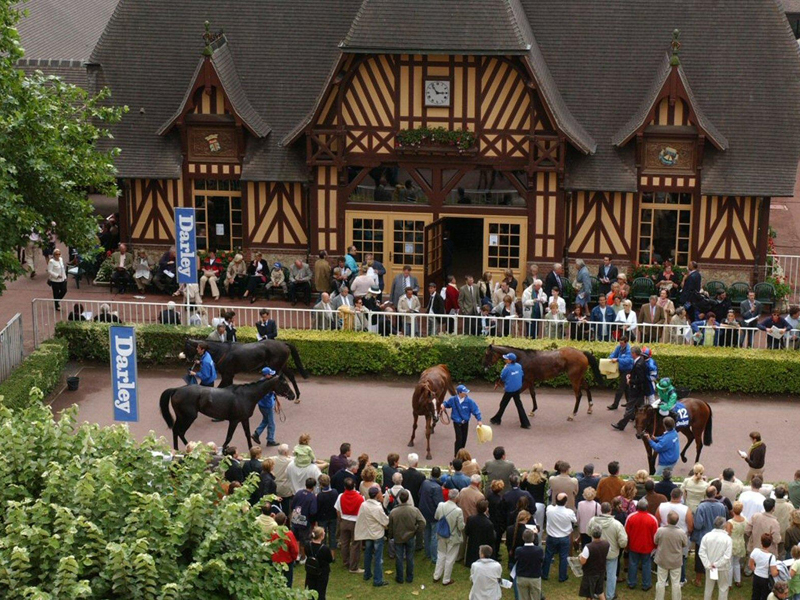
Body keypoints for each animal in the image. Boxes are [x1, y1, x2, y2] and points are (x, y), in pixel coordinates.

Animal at [159, 376, 294, 450]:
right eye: (284, 383)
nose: (292, 395)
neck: (247, 396)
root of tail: (177, 389)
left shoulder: (244, 419)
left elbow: (247, 435)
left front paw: (252, 450)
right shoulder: (234, 420)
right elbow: (229, 437)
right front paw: (224, 451)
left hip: (181, 416)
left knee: (175, 430)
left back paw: (177, 449)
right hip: (189, 417)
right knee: (180, 431)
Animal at [181, 340, 310, 396]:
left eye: (187, 347)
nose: (188, 359)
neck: (222, 351)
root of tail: (284, 343)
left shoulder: (227, 374)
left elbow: (221, 387)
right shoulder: (229, 375)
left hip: (275, 366)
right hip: (282, 364)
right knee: (291, 376)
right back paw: (297, 396)